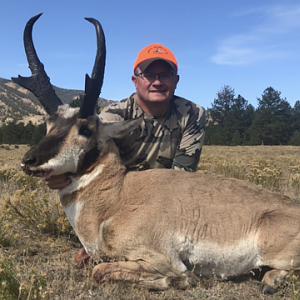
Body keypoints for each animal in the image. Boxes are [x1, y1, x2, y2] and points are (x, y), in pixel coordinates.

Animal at [13, 13, 300, 292]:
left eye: (85, 129)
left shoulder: (162, 258)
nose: (28, 160)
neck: (117, 196)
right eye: (49, 124)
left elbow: (101, 271)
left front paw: (179, 281)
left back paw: (269, 281)